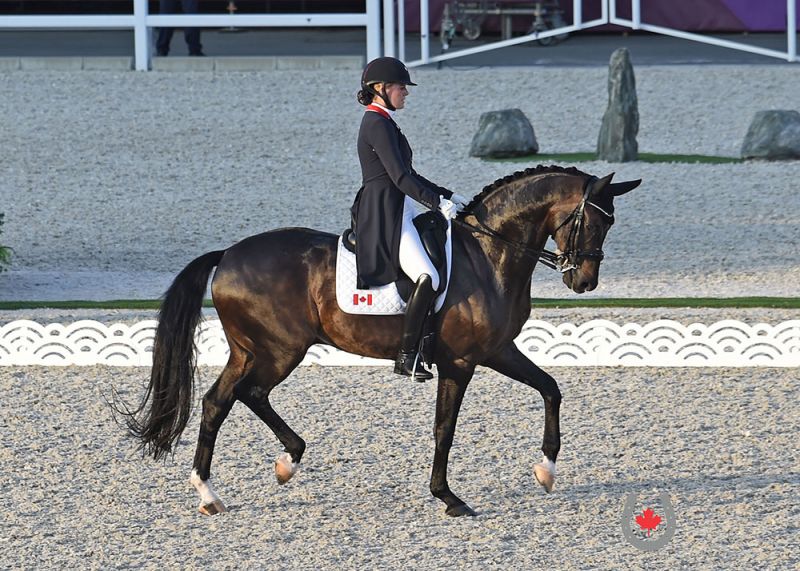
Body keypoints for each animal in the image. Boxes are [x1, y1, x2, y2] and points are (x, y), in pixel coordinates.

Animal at [118, 165, 641, 517]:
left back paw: (249, 477)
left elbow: (551, 388)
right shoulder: (461, 362)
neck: (489, 253)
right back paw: (234, 481)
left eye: (611, 223)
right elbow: (445, 429)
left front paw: (546, 470)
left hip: (253, 351)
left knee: (224, 400)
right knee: (237, 397)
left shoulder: (497, 351)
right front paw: (448, 498)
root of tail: (227, 255)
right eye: (593, 221)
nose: (584, 282)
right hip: (277, 350)